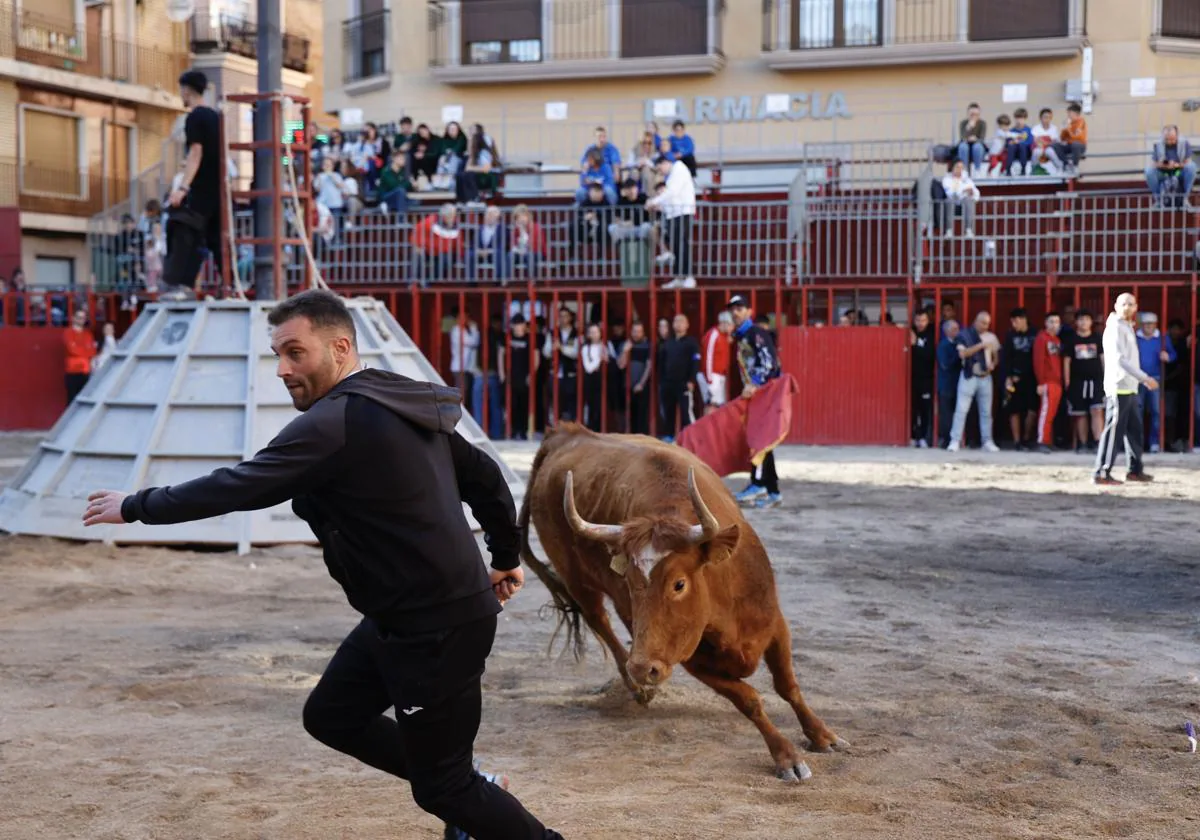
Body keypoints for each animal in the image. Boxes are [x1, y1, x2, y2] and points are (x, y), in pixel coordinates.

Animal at [518, 427, 844, 782]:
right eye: (629, 582)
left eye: (679, 584)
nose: (642, 668)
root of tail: (564, 435)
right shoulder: (691, 660)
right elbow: (749, 700)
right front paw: (786, 756)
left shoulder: (775, 626)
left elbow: (788, 686)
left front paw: (822, 735)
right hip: (576, 580)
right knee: (598, 619)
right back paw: (636, 686)